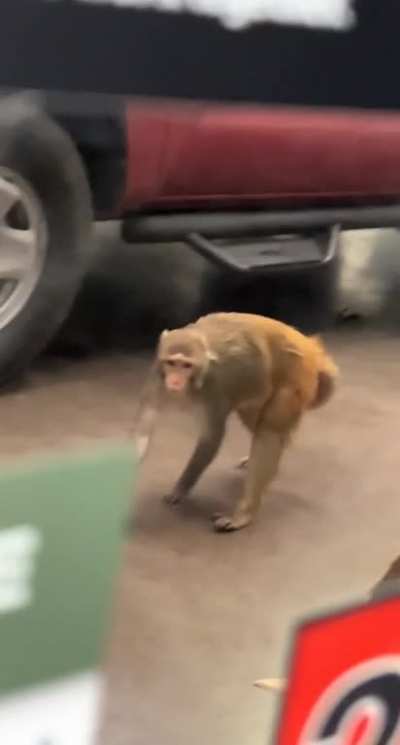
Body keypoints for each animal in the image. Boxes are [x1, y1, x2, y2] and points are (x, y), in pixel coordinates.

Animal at [133, 312, 338, 532]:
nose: (175, 381)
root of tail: (307, 345)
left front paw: (181, 487)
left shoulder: (214, 388)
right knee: (253, 417)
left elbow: (210, 439)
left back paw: (244, 513)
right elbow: (144, 428)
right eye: (171, 363)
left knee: (269, 432)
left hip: (295, 378)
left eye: (186, 365)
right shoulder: (156, 377)